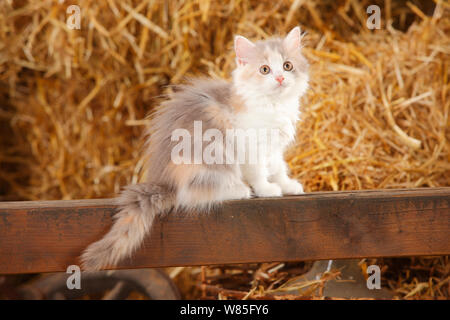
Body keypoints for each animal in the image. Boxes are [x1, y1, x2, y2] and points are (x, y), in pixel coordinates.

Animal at [81, 26, 308, 270]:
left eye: (287, 65)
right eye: (264, 70)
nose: (280, 77)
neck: (273, 105)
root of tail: (165, 183)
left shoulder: (274, 149)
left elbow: (278, 168)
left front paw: (288, 186)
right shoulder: (250, 146)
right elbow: (258, 172)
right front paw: (266, 189)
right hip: (210, 160)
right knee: (194, 194)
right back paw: (239, 189)